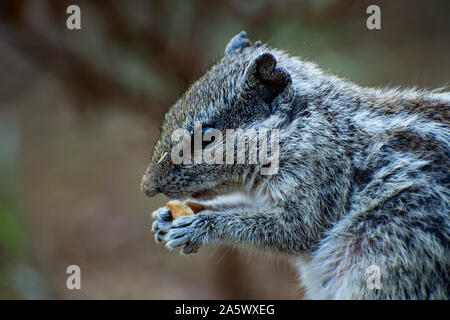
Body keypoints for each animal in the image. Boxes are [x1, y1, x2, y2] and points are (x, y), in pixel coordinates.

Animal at [140, 31, 446, 298]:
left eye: (207, 137)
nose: (146, 187)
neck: (301, 126)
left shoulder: (319, 181)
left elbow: (294, 230)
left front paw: (201, 226)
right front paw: (168, 217)